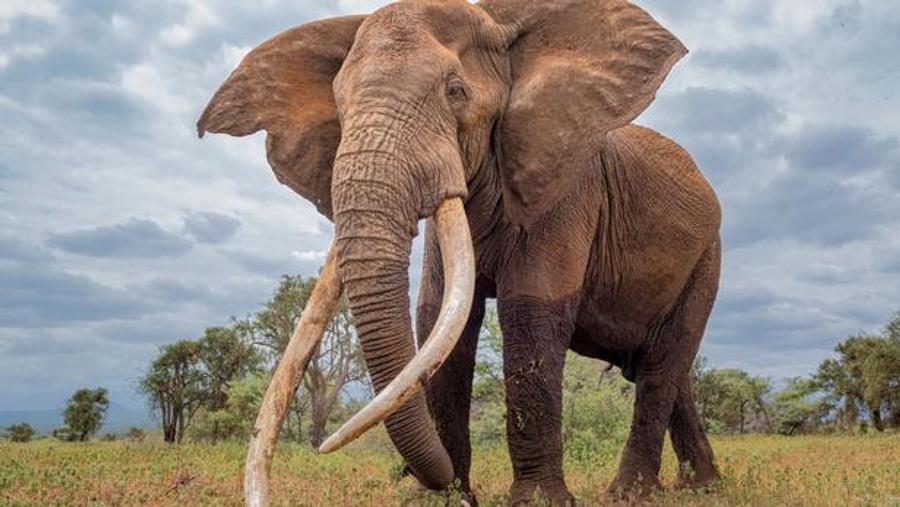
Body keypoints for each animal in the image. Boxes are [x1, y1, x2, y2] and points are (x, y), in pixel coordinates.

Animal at [198, 0, 722, 505]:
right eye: (340, 104)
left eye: (455, 91)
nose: (420, 476)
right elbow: (440, 316)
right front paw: (443, 498)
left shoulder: (566, 190)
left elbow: (528, 316)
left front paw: (537, 501)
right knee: (663, 369)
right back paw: (701, 487)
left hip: (707, 256)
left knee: (662, 366)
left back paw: (631, 493)